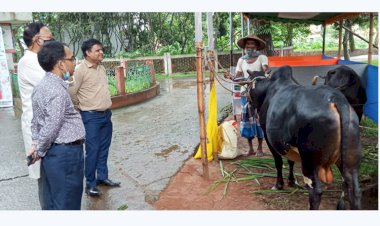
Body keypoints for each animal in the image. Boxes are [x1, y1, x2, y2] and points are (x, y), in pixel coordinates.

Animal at [248, 66, 360, 210]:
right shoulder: (288, 144)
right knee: (354, 190)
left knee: (315, 190)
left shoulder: (269, 138)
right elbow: (290, 161)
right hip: (349, 161)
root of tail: (336, 99)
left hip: (309, 160)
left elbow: (278, 162)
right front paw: (291, 181)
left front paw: (279, 185)